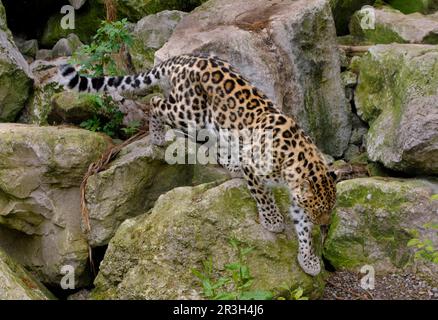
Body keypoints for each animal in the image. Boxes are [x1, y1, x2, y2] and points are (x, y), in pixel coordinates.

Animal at [59, 54, 338, 276]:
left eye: (328, 209)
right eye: (318, 210)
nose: (324, 224)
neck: (298, 162)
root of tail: (183, 58)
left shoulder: (297, 196)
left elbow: (303, 229)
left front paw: (308, 259)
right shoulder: (255, 168)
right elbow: (265, 197)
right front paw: (273, 221)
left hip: (211, 120)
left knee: (215, 140)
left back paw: (231, 164)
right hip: (189, 113)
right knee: (156, 103)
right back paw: (158, 137)